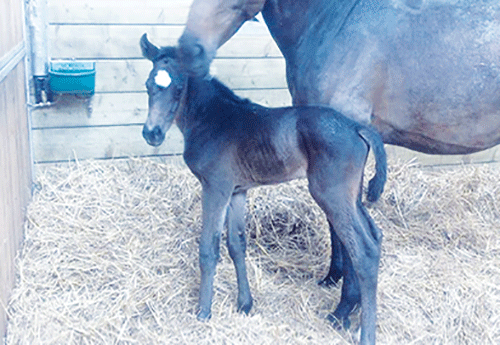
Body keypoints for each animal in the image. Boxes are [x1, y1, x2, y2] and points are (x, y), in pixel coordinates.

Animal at [141, 34, 386, 344]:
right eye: (148, 85)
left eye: (178, 88)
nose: (152, 134)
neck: (211, 118)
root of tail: (356, 127)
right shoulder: (237, 191)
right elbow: (236, 245)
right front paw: (245, 304)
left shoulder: (215, 187)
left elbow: (209, 248)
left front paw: (203, 312)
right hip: (352, 196)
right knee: (374, 237)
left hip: (332, 195)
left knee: (364, 251)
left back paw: (364, 332)